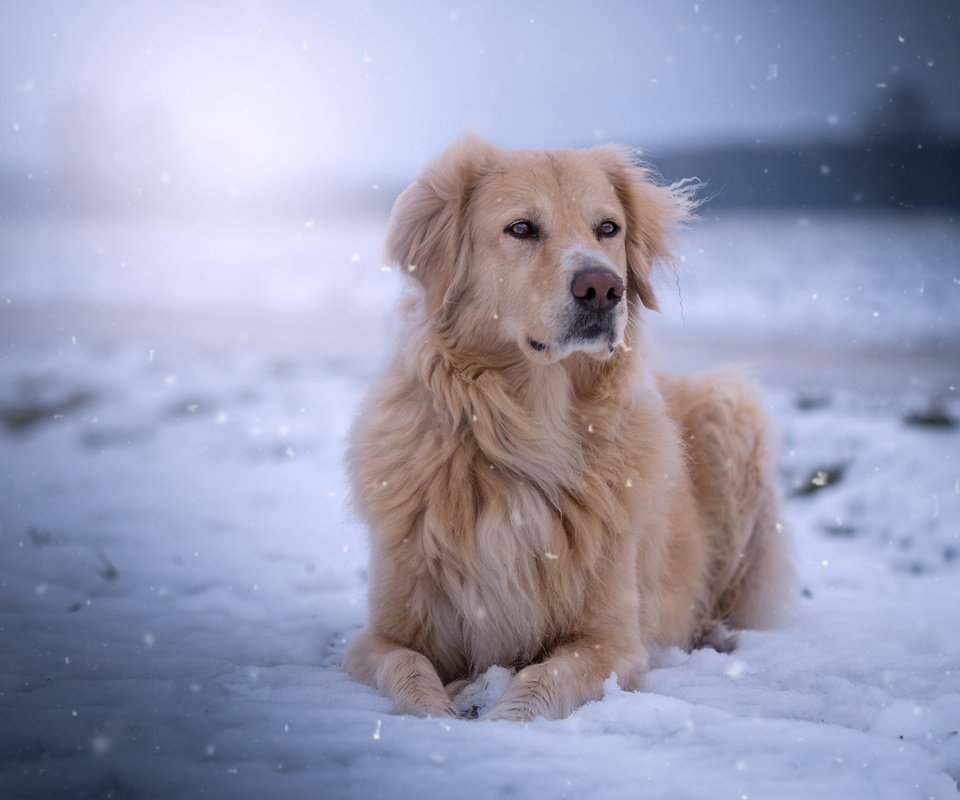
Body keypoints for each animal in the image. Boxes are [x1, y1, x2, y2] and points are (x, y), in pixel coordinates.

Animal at [342, 134, 792, 720]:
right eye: (521, 228)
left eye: (608, 228)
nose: (603, 287)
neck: (527, 431)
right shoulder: (380, 636)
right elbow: (411, 674)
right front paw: (444, 713)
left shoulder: (610, 642)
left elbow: (538, 684)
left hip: (734, 408)